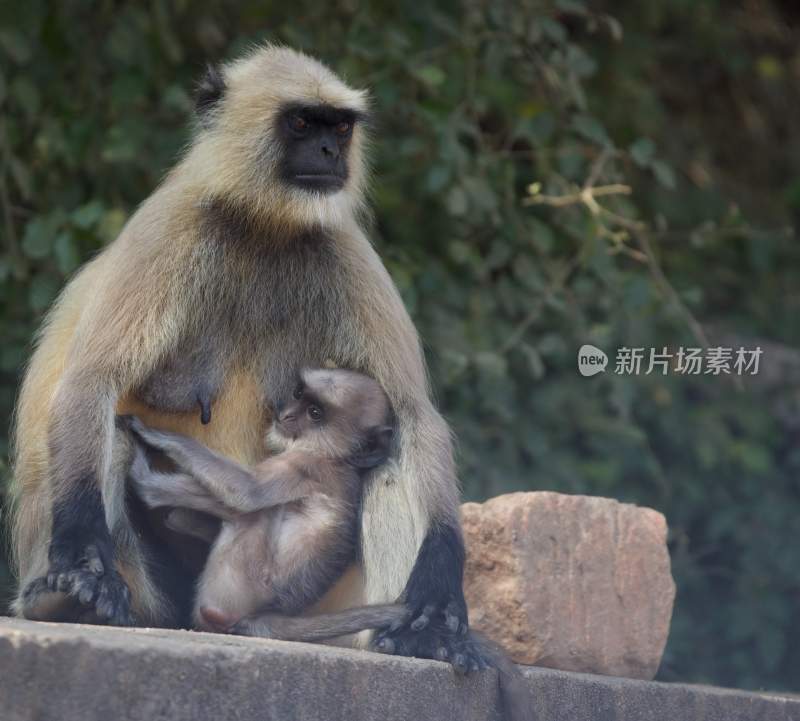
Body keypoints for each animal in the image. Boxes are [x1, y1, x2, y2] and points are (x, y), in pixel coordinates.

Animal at [126, 368, 398, 632]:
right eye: (298, 393)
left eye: (314, 413)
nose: (286, 415)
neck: (339, 460)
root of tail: (263, 615)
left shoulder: (307, 465)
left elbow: (248, 491)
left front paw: (156, 436)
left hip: (233, 589)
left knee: (257, 511)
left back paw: (146, 485)